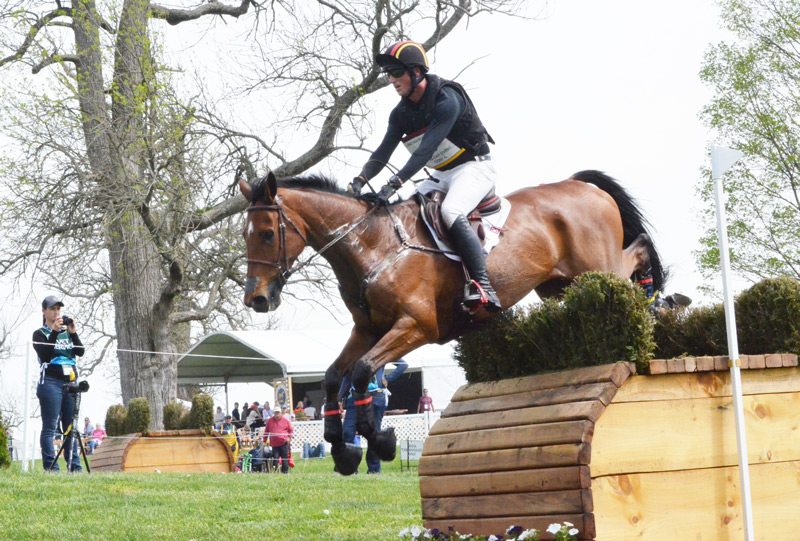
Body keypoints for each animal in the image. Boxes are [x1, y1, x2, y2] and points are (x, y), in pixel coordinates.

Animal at [238, 170, 664, 472]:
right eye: (245, 235)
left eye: (266, 233)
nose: (256, 299)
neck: (374, 247)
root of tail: (584, 187)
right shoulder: (368, 329)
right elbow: (333, 377)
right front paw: (342, 450)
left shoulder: (416, 327)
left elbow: (361, 371)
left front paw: (380, 441)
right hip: (559, 285)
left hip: (596, 267)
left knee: (636, 253)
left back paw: (655, 294)